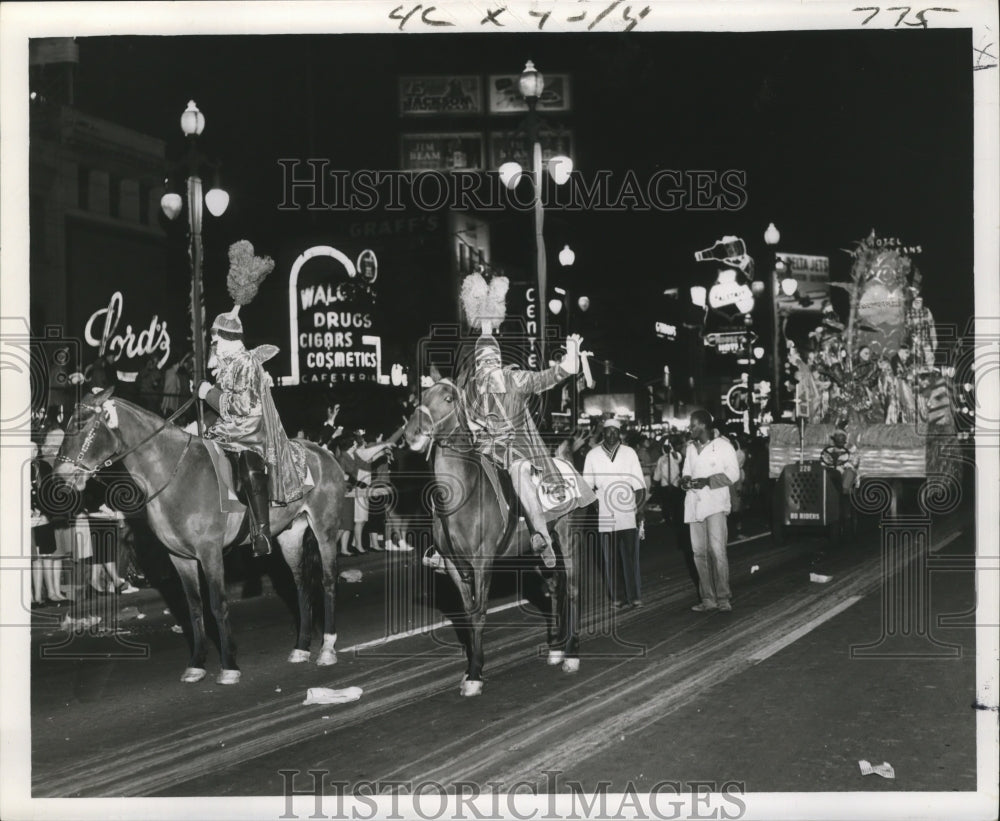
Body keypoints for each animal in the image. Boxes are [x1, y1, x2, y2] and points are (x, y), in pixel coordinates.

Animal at [54, 388, 346, 684]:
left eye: (81, 424)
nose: (59, 477)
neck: (175, 474)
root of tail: (323, 452)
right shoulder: (180, 557)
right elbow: (194, 608)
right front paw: (196, 664)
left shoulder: (210, 552)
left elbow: (217, 604)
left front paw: (229, 665)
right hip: (290, 535)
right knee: (301, 584)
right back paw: (301, 648)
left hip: (325, 529)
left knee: (328, 580)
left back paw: (327, 648)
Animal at [402, 376, 584, 692]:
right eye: (422, 395)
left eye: (448, 399)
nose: (411, 433)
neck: (464, 494)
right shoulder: (453, 566)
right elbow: (467, 612)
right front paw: (471, 668)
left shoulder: (482, 562)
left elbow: (479, 613)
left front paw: (475, 674)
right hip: (538, 550)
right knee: (554, 588)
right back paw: (556, 648)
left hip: (567, 537)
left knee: (571, 589)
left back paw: (571, 653)